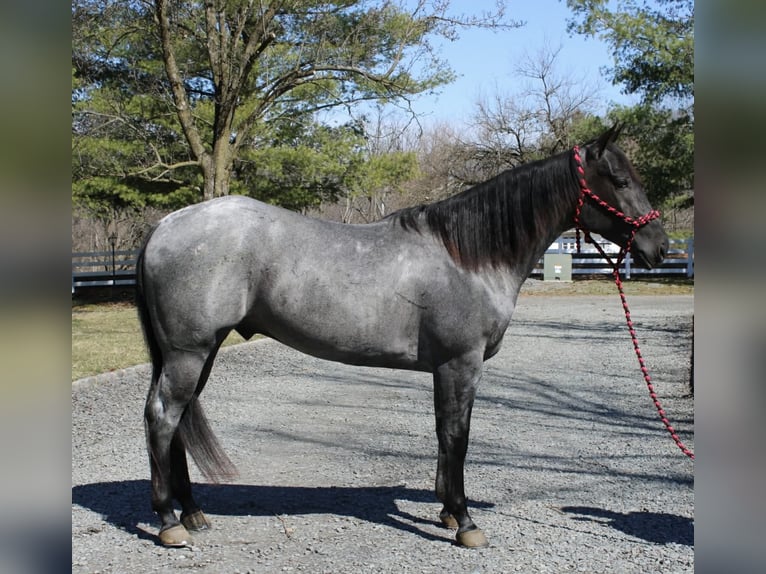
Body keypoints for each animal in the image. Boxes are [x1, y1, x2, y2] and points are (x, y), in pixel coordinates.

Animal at [136, 125, 669, 548]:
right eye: (621, 181)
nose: (659, 247)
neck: (468, 257)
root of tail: (164, 225)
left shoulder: (447, 369)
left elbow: (443, 432)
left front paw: (447, 510)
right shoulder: (460, 363)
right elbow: (457, 436)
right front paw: (466, 523)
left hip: (200, 353)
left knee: (176, 422)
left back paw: (192, 512)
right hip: (189, 352)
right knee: (163, 418)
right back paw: (168, 521)